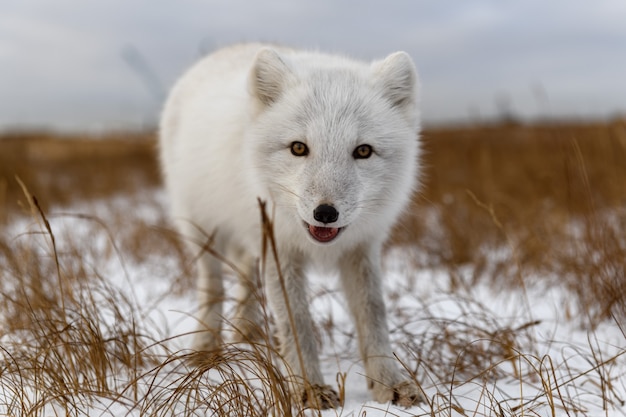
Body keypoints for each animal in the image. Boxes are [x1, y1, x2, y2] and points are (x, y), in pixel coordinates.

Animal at [160, 42, 424, 406]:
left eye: (363, 151)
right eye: (299, 148)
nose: (325, 213)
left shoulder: (361, 248)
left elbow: (374, 315)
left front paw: (389, 383)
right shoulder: (281, 251)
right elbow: (296, 322)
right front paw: (309, 388)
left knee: (245, 274)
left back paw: (246, 330)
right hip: (204, 231)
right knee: (212, 287)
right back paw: (205, 346)